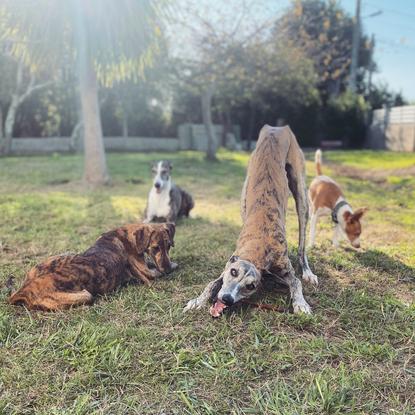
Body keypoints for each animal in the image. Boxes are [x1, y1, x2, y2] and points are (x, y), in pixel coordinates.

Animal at [8, 223, 176, 310]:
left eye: (169, 246)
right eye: (155, 248)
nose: (167, 268)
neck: (126, 234)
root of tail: (25, 289)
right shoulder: (147, 273)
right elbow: (156, 271)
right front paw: (174, 265)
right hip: (85, 294)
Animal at [185, 125, 318, 316]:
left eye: (251, 286)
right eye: (233, 272)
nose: (227, 299)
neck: (259, 245)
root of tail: (277, 128)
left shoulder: (284, 270)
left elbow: (296, 281)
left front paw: (301, 303)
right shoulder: (231, 262)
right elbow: (213, 283)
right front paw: (198, 301)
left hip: (301, 194)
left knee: (302, 245)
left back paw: (307, 272)